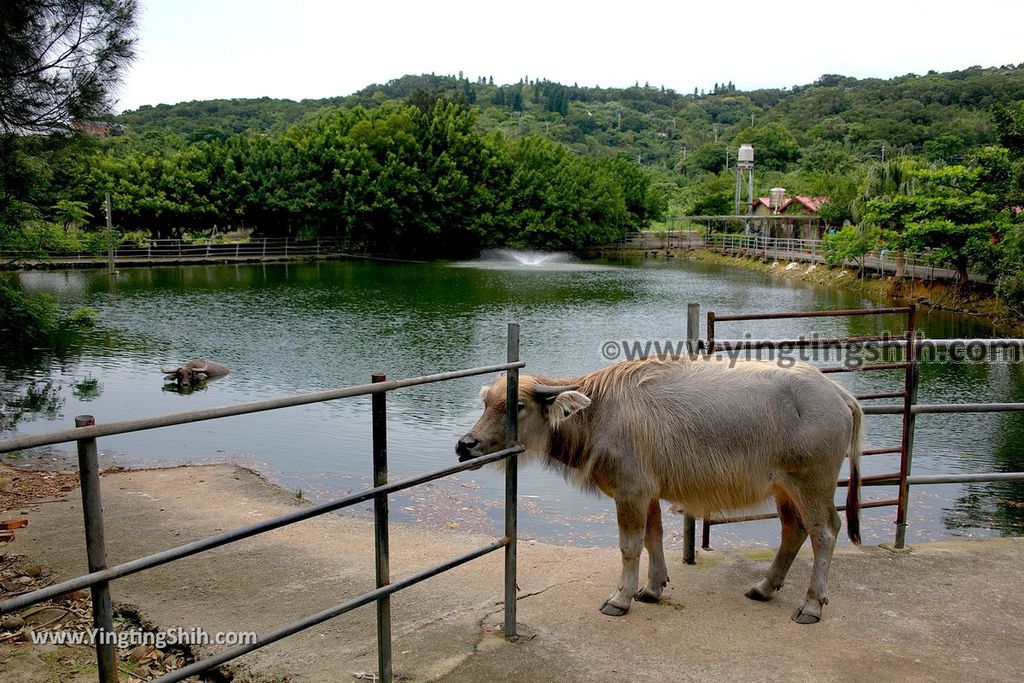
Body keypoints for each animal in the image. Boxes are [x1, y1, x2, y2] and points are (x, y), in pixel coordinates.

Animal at [460, 358, 860, 626]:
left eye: (517, 405)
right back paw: (764, 587)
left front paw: (621, 597)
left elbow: (630, 546)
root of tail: (839, 394)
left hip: (812, 485)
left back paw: (811, 604)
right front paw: (652, 588)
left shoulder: (630, 491)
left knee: (825, 533)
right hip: (784, 489)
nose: (465, 445)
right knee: (794, 531)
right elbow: (654, 538)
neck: (599, 413)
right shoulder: (648, 493)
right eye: (486, 403)